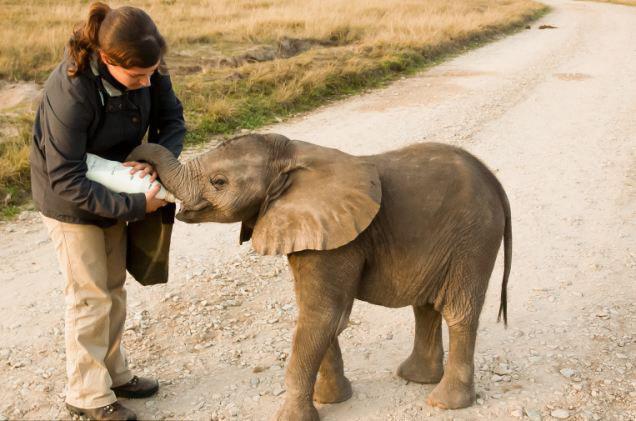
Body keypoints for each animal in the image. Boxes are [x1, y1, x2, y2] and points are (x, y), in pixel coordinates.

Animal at [129, 135, 512, 420]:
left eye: (218, 182)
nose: (138, 168)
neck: (294, 156)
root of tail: (493, 180)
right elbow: (320, 316)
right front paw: (331, 400)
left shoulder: (339, 238)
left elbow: (323, 316)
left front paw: (293, 417)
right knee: (426, 307)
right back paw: (415, 378)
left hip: (474, 237)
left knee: (458, 312)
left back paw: (444, 402)